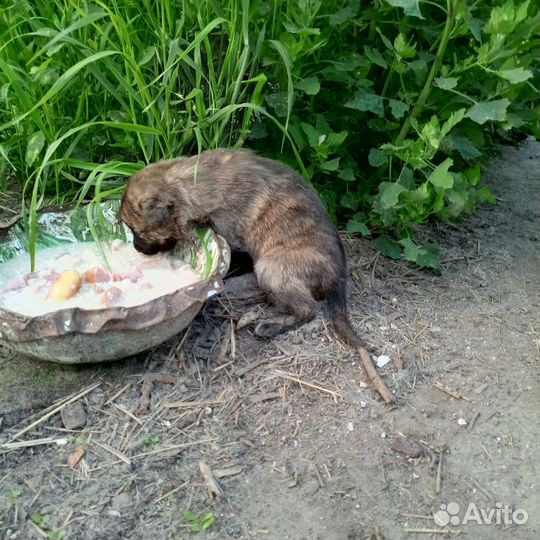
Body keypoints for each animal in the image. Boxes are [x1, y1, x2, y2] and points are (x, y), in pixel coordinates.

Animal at [121, 150, 392, 402]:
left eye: (137, 230)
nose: (137, 249)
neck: (196, 180)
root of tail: (339, 279)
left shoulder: (233, 237)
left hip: (270, 269)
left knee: (307, 309)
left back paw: (270, 325)